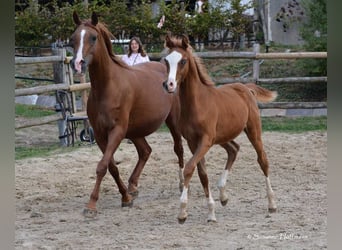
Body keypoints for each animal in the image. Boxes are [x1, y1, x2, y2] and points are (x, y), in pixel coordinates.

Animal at [67, 12, 184, 217]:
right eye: (73, 38)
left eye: (93, 37)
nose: (77, 64)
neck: (107, 88)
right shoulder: (100, 135)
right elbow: (111, 166)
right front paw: (126, 197)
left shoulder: (117, 131)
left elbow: (102, 166)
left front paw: (91, 205)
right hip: (136, 130)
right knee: (145, 151)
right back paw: (132, 187)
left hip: (172, 122)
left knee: (178, 149)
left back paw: (181, 184)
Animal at [163, 34, 278, 223]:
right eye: (166, 60)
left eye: (183, 61)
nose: (169, 84)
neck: (197, 103)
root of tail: (246, 88)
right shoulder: (193, 142)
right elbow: (202, 173)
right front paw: (210, 211)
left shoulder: (205, 141)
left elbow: (189, 168)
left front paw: (182, 211)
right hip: (222, 136)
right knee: (234, 149)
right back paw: (223, 196)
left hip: (253, 131)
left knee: (263, 160)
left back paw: (272, 204)